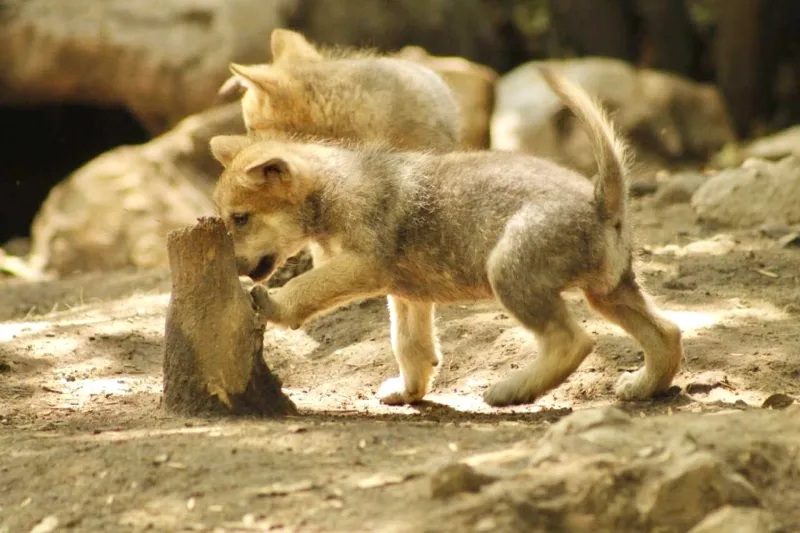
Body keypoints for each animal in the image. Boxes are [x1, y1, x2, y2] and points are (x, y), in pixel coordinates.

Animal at [210, 68, 683, 407]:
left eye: (240, 219)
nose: (230, 266)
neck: (335, 187)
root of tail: (602, 200)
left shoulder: (363, 266)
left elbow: (306, 287)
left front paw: (272, 304)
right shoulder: (406, 295)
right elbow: (411, 347)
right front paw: (409, 392)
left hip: (509, 273)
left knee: (574, 341)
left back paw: (512, 390)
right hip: (608, 292)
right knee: (667, 334)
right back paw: (643, 388)